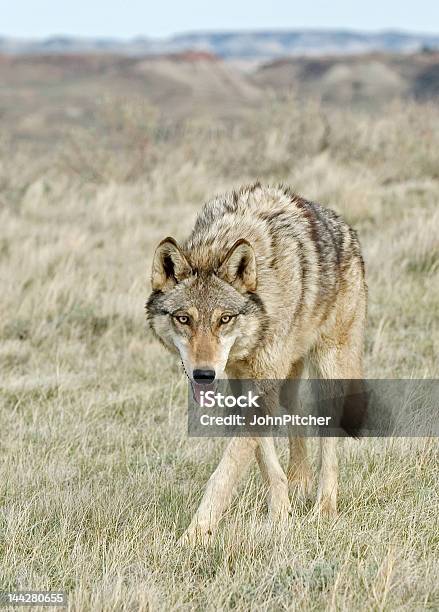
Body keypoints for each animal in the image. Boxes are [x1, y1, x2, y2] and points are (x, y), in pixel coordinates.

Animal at [146, 182, 366, 544]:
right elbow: (265, 460)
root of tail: (344, 226)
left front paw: (194, 537)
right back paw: (300, 483)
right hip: (288, 379)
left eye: (224, 319)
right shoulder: (242, 383)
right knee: (297, 417)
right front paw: (281, 515)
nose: (204, 375)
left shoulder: (261, 383)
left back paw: (323, 509)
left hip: (329, 368)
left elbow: (225, 473)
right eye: (183, 319)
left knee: (329, 440)